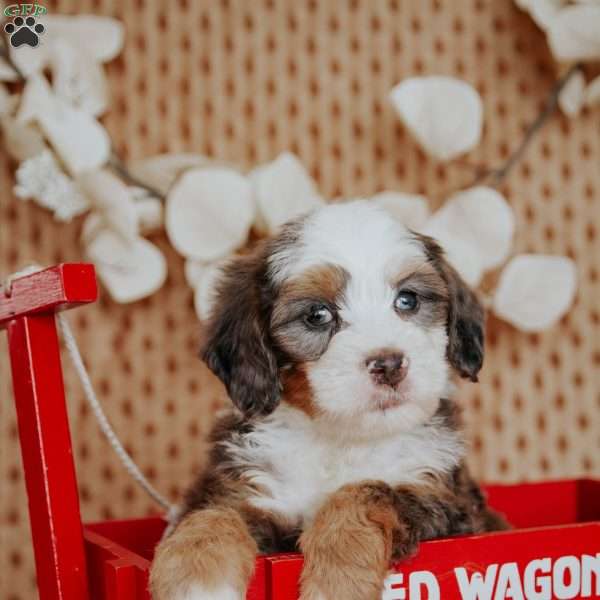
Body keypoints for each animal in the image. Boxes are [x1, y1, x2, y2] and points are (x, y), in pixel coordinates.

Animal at [150, 202, 506, 600]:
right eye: (317, 315)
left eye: (408, 299)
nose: (389, 364)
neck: (340, 439)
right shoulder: (245, 487)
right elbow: (210, 513)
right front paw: (196, 578)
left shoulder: (448, 501)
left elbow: (365, 492)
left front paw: (338, 578)